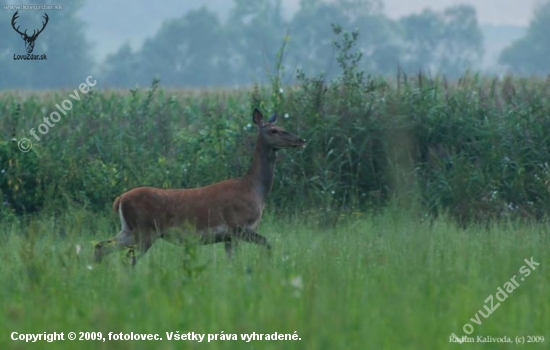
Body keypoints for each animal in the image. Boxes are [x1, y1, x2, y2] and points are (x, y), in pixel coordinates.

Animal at [96, 108, 308, 264]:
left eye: (281, 126)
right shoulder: (237, 226)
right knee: (127, 260)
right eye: (273, 130)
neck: (255, 189)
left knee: (100, 246)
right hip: (144, 230)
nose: (301, 140)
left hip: (129, 230)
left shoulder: (229, 236)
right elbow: (268, 244)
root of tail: (120, 199)